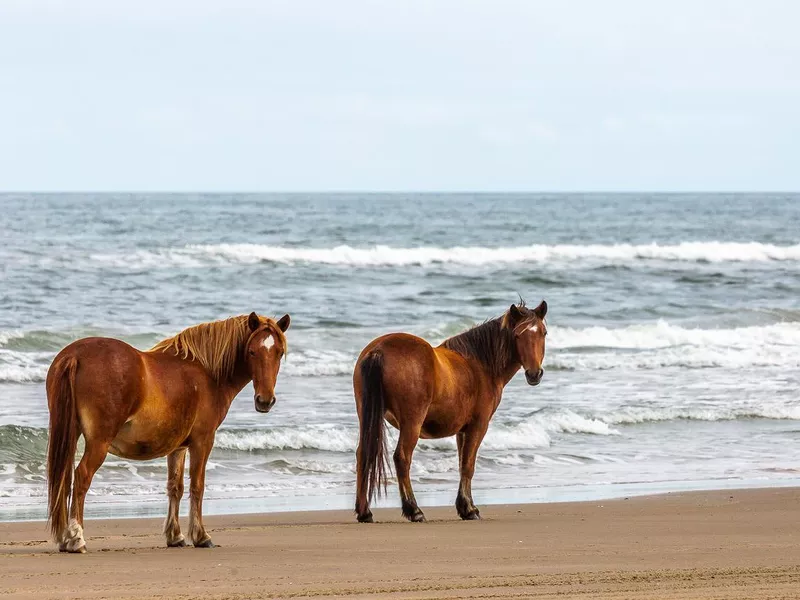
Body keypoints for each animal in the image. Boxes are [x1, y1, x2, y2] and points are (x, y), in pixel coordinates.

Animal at [46, 314, 290, 552]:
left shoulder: (178, 447)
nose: (265, 401)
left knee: (64, 480)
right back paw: (76, 539)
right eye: (252, 351)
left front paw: (175, 536)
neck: (207, 373)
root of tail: (75, 356)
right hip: (99, 443)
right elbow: (197, 486)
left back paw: (65, 539)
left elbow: (175, 487)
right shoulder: (203, 441)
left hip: (70, 434)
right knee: (81, 477)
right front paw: (201, 536)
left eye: (279, 352)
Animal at [354, 302, 548, 524]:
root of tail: (378, 351)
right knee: (402, 457)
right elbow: (468, 465)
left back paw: (365, 512)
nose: (534, 374)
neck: (479, 365)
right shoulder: (478, 426)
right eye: (517, 335)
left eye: (543, 332)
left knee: (362, 454)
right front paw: (470, 509)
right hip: (412, 423)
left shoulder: (461, 430)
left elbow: (462, 463)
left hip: (366, 416)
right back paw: (414, 510)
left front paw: (464, 507)